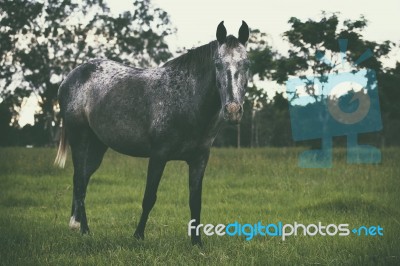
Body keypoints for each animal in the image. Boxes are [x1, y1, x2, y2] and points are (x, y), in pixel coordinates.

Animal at [54, 20, 250, 245]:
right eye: (217, 64)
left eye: (247, 64)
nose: (233, 110)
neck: (187, 100)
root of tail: (70, 78)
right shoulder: (158, 156)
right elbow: (149, 197)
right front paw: (138, 235)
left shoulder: (199, 159)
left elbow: (195, 200)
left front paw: (196, 242)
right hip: (80, 139)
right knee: (79, 181)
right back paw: (82, 227)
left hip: (97, 146)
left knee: (84, 180)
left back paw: (81, 228)